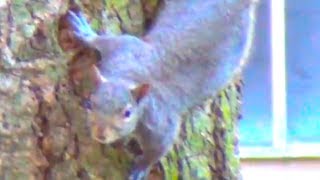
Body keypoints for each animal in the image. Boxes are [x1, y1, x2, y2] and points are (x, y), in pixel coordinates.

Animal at [68, 0, 260, 179]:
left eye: (127, 113)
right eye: (90, 104)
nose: (100, 134)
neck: (127, 77)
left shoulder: (159, 121)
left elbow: (160, 147)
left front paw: (141, 167)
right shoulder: (125, 50)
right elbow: (106, 41)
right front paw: (85, 33)